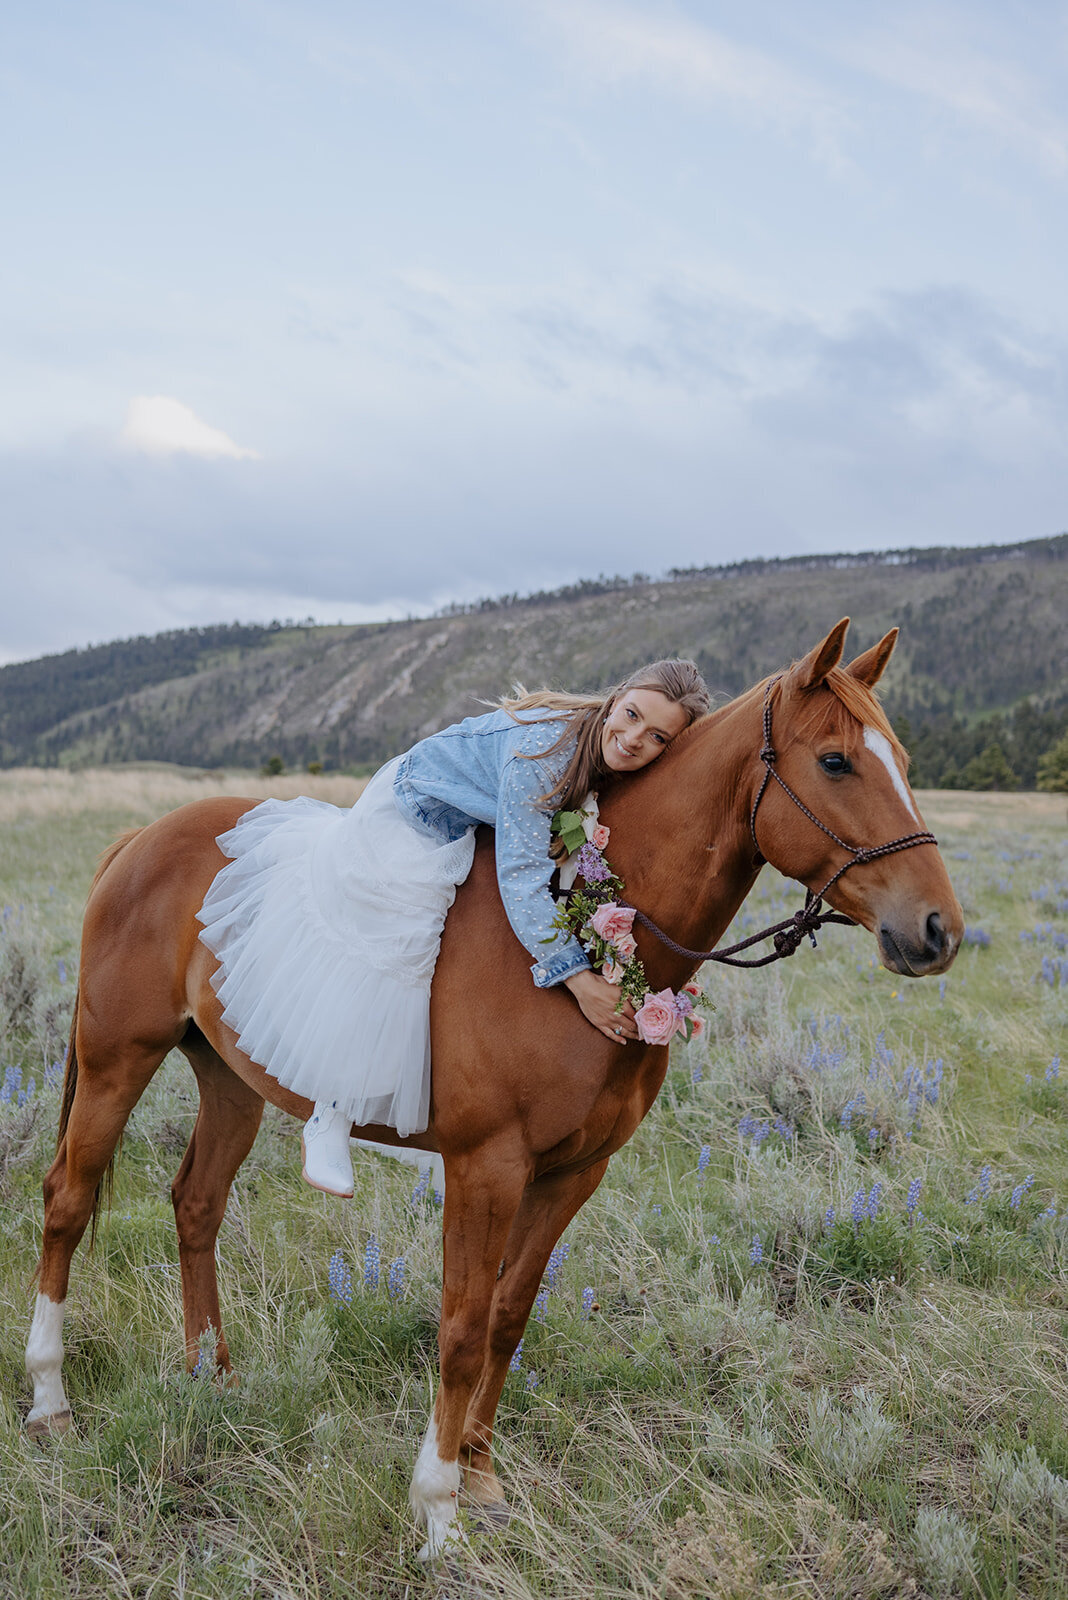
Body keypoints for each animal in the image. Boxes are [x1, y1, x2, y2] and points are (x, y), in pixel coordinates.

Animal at [24, 617, 965, 1555]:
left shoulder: (572, 1172)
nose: (937, 931)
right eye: (836, 762)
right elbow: (463, 1330)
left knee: (196, 1204)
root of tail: (142, 839)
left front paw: (476, 1472)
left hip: (229, 1078)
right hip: (118, 1059)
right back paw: (50, 1401)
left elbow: (510, 1316)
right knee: (68, 1199)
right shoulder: (487, 1170)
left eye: (903, 760)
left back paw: (209, 1376)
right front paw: (437, 1507)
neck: (577, 952)